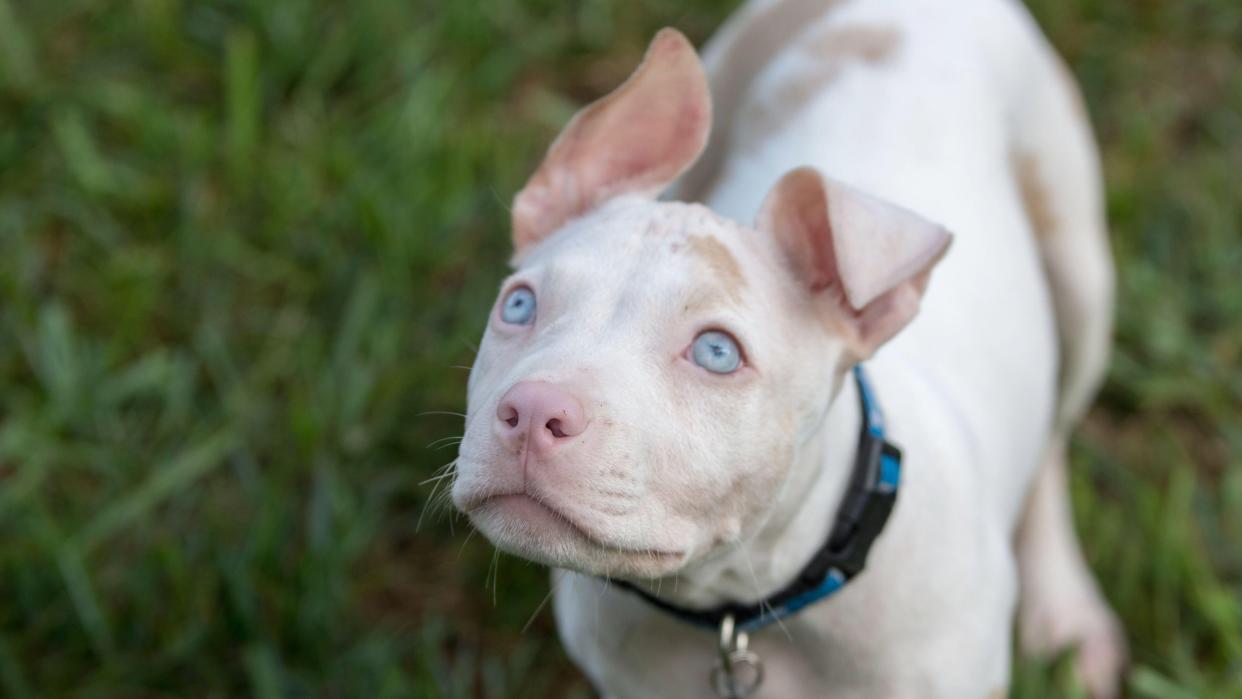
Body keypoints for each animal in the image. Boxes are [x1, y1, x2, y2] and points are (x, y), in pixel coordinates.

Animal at [454, 0, 1127, 695]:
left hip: (1081, 274)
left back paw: (1065, 609)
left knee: (1054, 435)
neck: (741, 609)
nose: (531, 412)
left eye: (717, 353)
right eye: (519, 306)